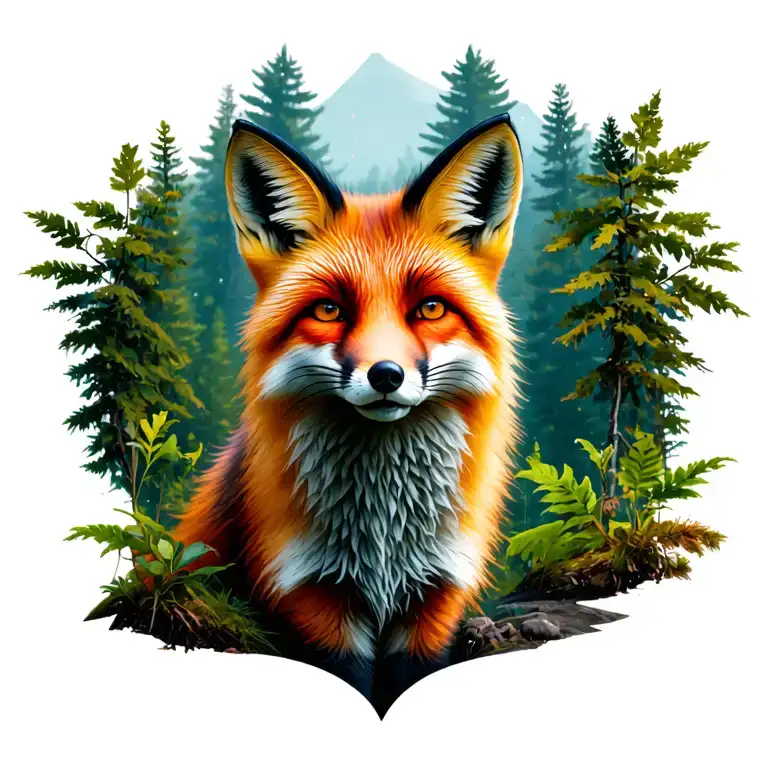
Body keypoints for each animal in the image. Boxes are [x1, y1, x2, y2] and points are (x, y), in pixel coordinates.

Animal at [172, 112, 524, 716]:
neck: (382, 540)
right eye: (328, 310)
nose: (385, 375)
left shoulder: (435, 598)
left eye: (430, 308)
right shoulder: (311, 595)